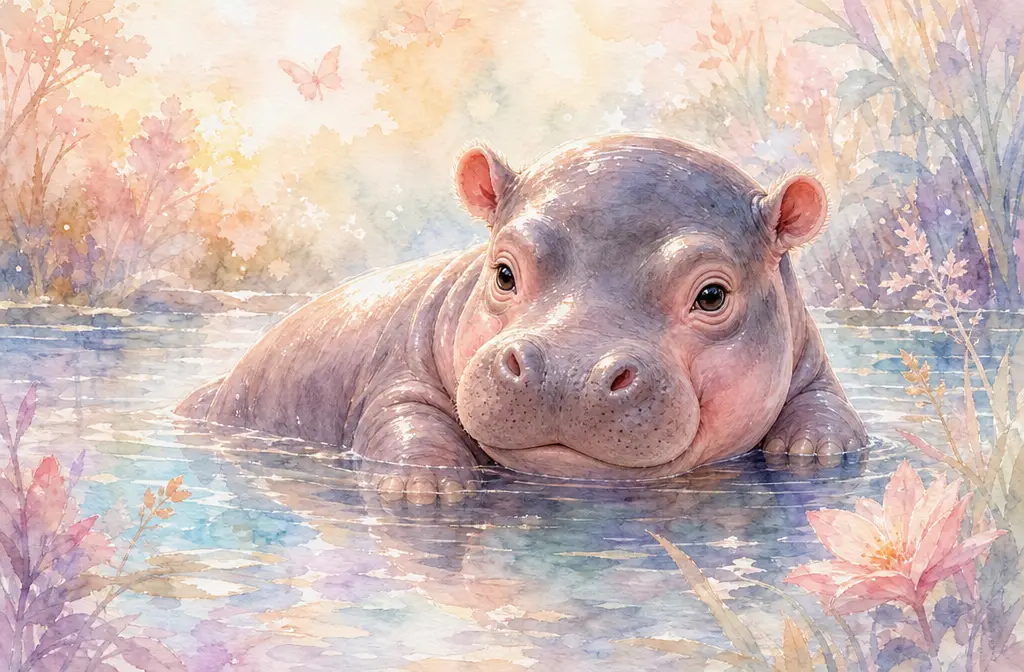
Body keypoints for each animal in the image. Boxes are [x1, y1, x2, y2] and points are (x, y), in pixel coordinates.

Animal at [177, 133, 866, 502]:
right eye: (503, 272)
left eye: (713, 295)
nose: (566, 369)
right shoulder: (399, 367)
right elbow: (403, 415)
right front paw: (426, 485)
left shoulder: (810, 358)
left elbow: (829, 409)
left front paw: (816, 451)